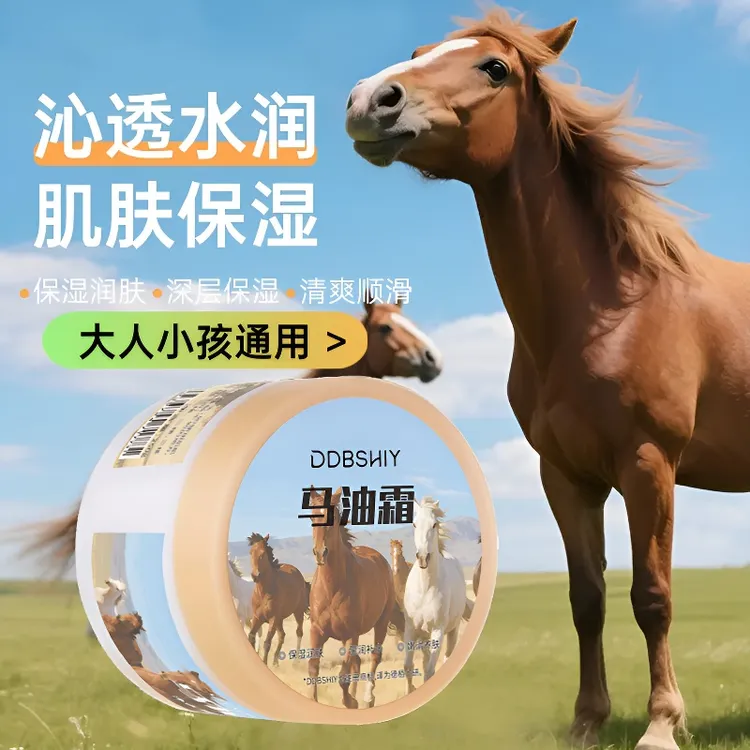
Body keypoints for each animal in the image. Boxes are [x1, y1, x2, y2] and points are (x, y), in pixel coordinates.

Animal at [246, 532, 309, 667]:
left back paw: (295, 662)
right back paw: (275, 662)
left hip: (297, 612)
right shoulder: (257, 617)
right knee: (282, 635)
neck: (265, 592)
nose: (255, 575)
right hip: (280, 620)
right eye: (250, 552)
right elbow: (251, 636)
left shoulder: (273, 619)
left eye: (262, 554)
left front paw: (264, 663)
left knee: (299, 632)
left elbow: (267, 643)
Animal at [307, 487, 395, 709]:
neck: (332, 586)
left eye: (334, 517)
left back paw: (367, 698)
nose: (320, 553)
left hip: (381, 623)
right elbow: (313, 668)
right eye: (311, 516)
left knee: (374, 657)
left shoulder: (349, 634)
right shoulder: (316, 631)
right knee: (357, 662)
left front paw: (351, 701)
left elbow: (342, 676)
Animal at [402, 498, 468, 693]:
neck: (425, 589)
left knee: (447, 657)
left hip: (452, 630)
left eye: (434, 524)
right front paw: (409, 692)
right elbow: (408, 666)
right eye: (414, 524)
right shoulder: (410, 629)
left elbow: (430, 671)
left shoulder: (437, 631)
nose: (423, 557)